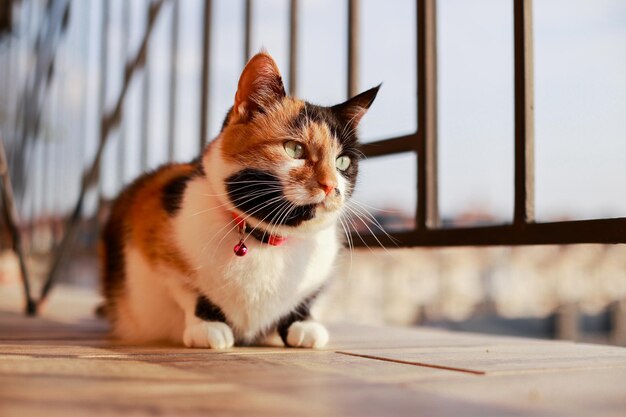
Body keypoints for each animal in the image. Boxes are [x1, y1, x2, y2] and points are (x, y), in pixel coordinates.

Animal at [100, 52, 378, 348]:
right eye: (294, 149)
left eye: (342, 162)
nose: (330, 185)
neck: (268, 241)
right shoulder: (154, 238)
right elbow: (188, 290)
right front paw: (208, 327)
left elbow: (305, 299)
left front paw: (304, 325)